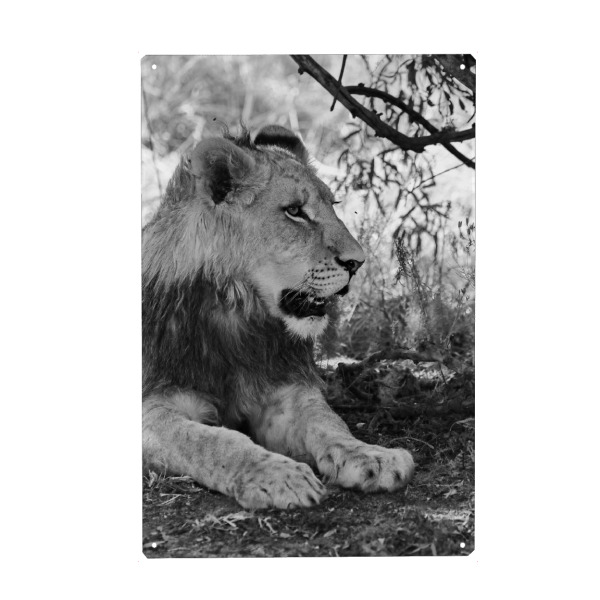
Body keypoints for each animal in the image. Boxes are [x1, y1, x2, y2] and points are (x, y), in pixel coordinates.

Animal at [142, 125, 415, 509]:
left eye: (333, 205)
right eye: (295, 211)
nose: (358, 262)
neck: (237, 315)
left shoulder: (285, 394)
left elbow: (328, 423)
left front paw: (372, 456)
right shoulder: (152, 406)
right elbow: (213, 442)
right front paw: (278, 475)